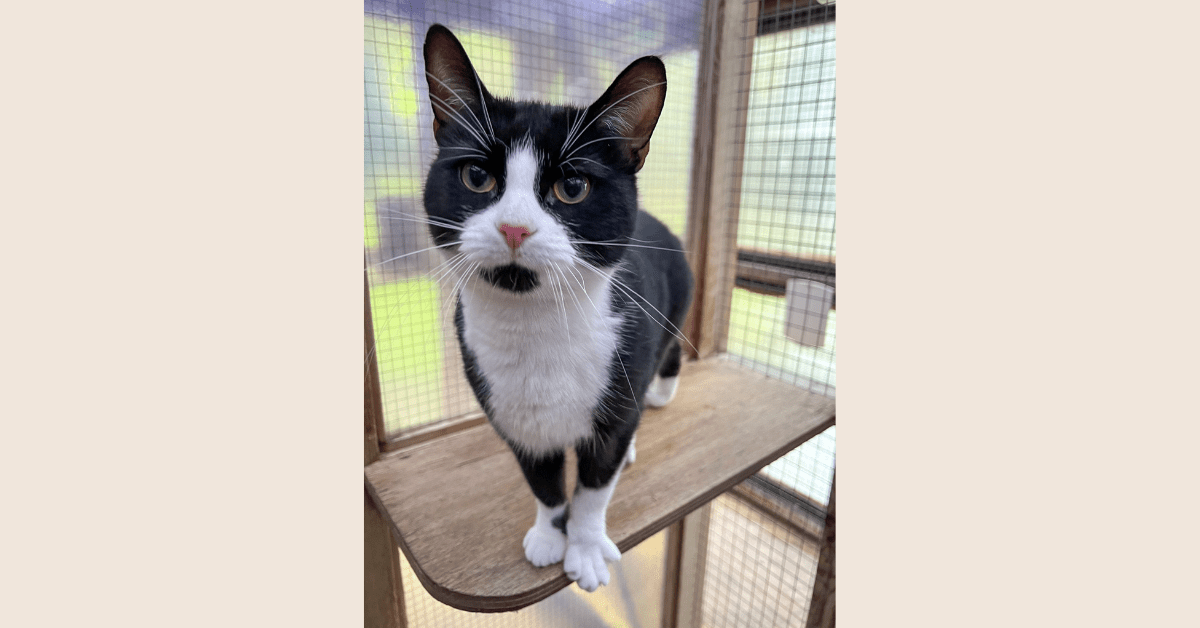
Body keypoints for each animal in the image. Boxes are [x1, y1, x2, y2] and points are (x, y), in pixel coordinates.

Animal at [420, 24, 693, 592]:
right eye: (476, 176)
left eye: (572, 187)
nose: (514, 227)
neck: (536, 324)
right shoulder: (510, 412)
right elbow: (542, 480)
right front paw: (549, 535)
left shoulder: (617, 390)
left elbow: (593, 488)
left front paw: (584, 549)